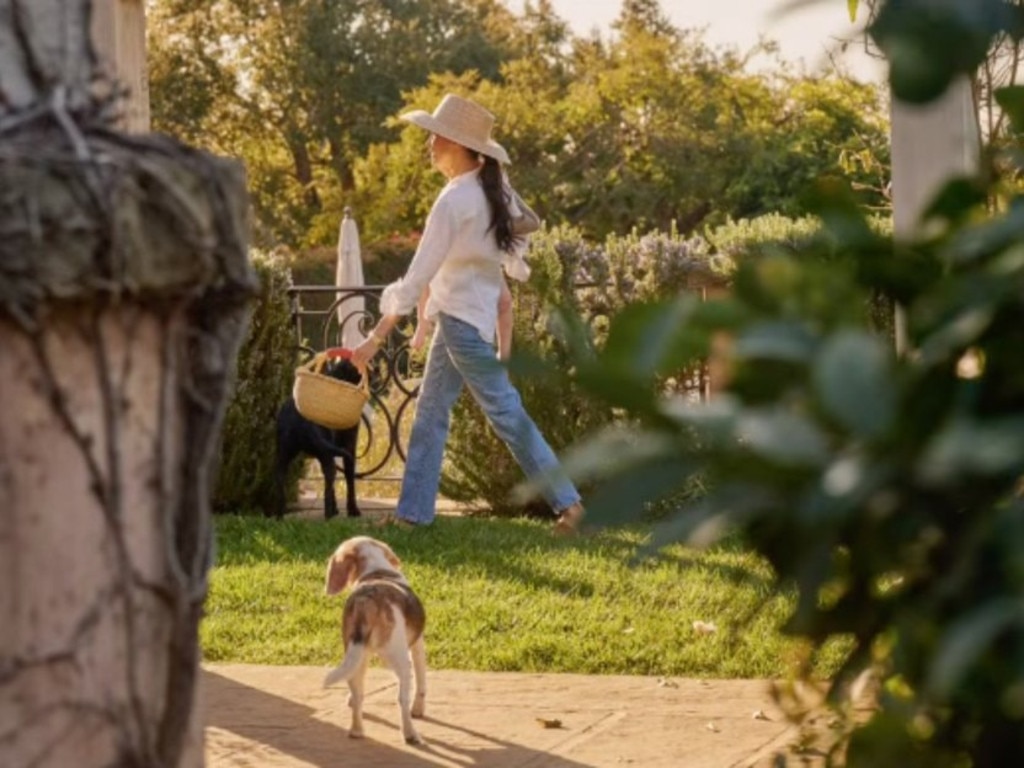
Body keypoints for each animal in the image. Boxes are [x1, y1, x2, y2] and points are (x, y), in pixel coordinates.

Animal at [272, 358, 364, 520]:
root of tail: (300, 419)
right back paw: (329, 517)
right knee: (328, 488)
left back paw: (279, 517)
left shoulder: (327, 452)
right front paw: (353, 510)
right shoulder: (348, 447)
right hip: (326, 454)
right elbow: (349, 480)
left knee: (280, 484)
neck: (338, 377)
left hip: (284, 455)